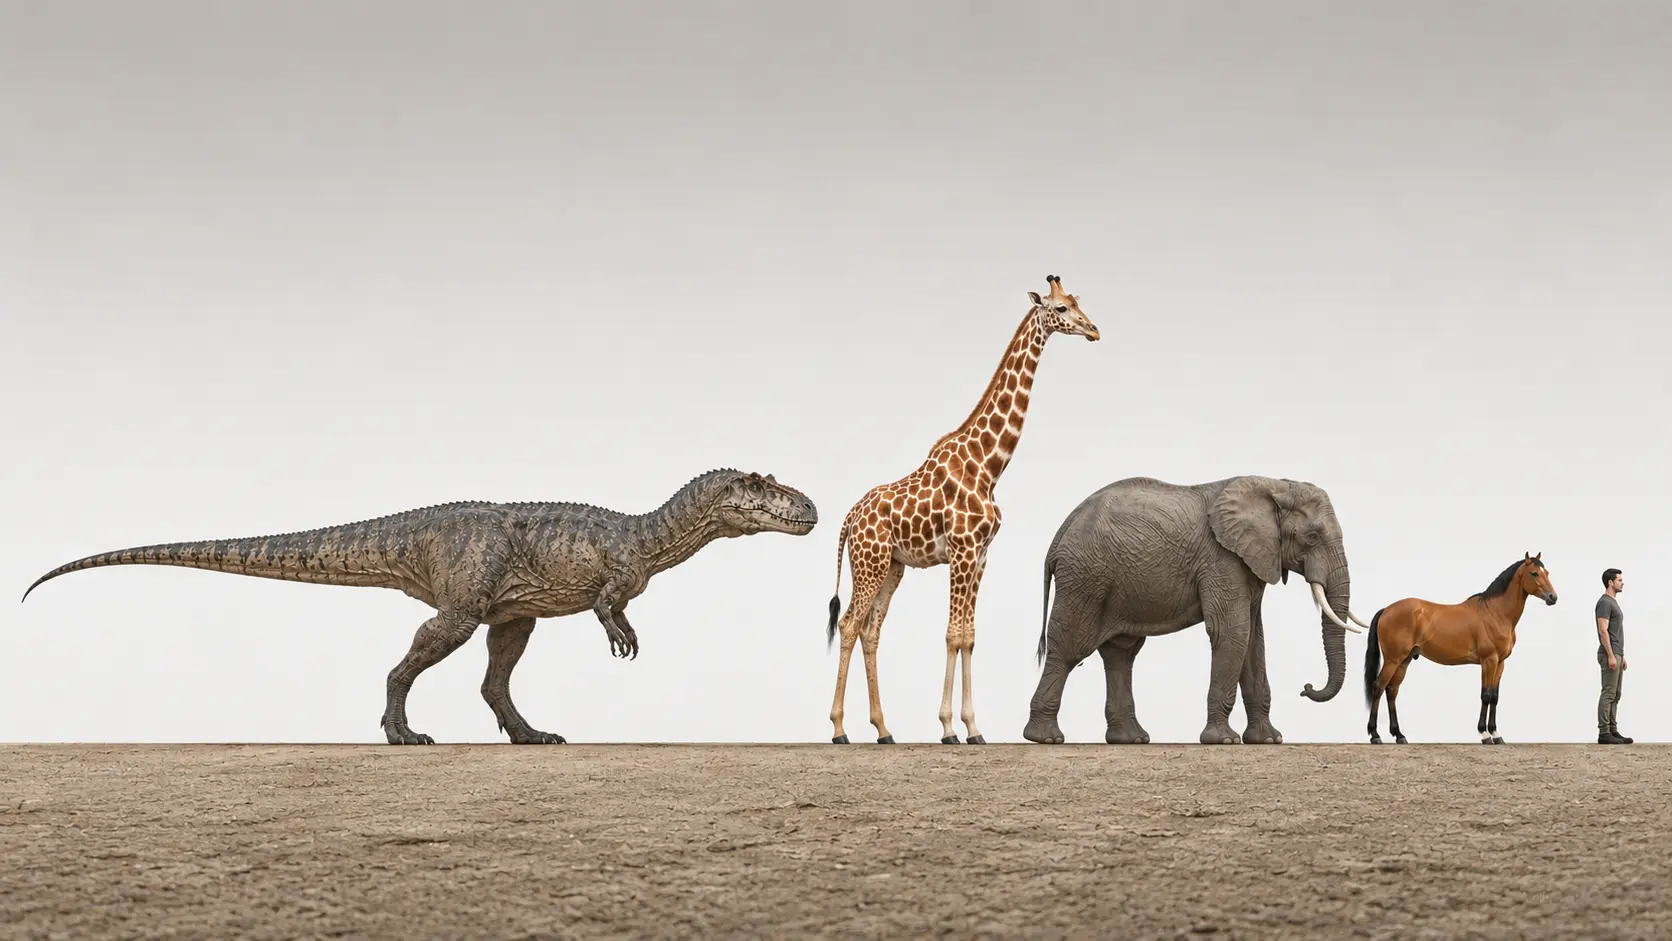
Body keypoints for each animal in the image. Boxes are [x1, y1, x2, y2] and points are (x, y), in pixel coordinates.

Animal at [825, 275, 1101, 744]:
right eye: (1061, 308)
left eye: (1076, 301)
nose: (1094, 330)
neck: (988, 466)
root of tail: (849, 518)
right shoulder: (962, 551)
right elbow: (953, 635)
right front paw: (949, 727)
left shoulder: (982, 556)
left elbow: (969, 635)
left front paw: (974, 727)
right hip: (869, 564)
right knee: (848, 625)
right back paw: (840, 728)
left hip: (891, 568)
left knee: (870, 630)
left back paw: (883, 729)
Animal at [1021, 475, 1370, 746]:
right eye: (1312, 536)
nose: (1306, 688)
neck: (1274, 485)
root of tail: (1060, 534)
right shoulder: (1221, 558)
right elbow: (1232, 632)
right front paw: (1224, 741)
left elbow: (1253, 640)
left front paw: (1269, 740)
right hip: (1086, 576)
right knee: (1070, 648)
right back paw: (1046, 737)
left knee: (1121, 653)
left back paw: (1132, 739)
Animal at [1362, 552, 1558, 745]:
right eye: (1534, 573)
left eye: (1547, 572)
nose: (1553, 597)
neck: (1495, 613)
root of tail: (1386, 609)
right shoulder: (1489, 660)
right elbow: (1486, 695)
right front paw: (1484, 734)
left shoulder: (1500, 662)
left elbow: (1495, 697)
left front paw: (1496, 734)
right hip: (1393, 659)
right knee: (1378, 687)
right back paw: (1375, 735)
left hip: (1404, 660)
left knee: (1392, 690)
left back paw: (1399, 735)